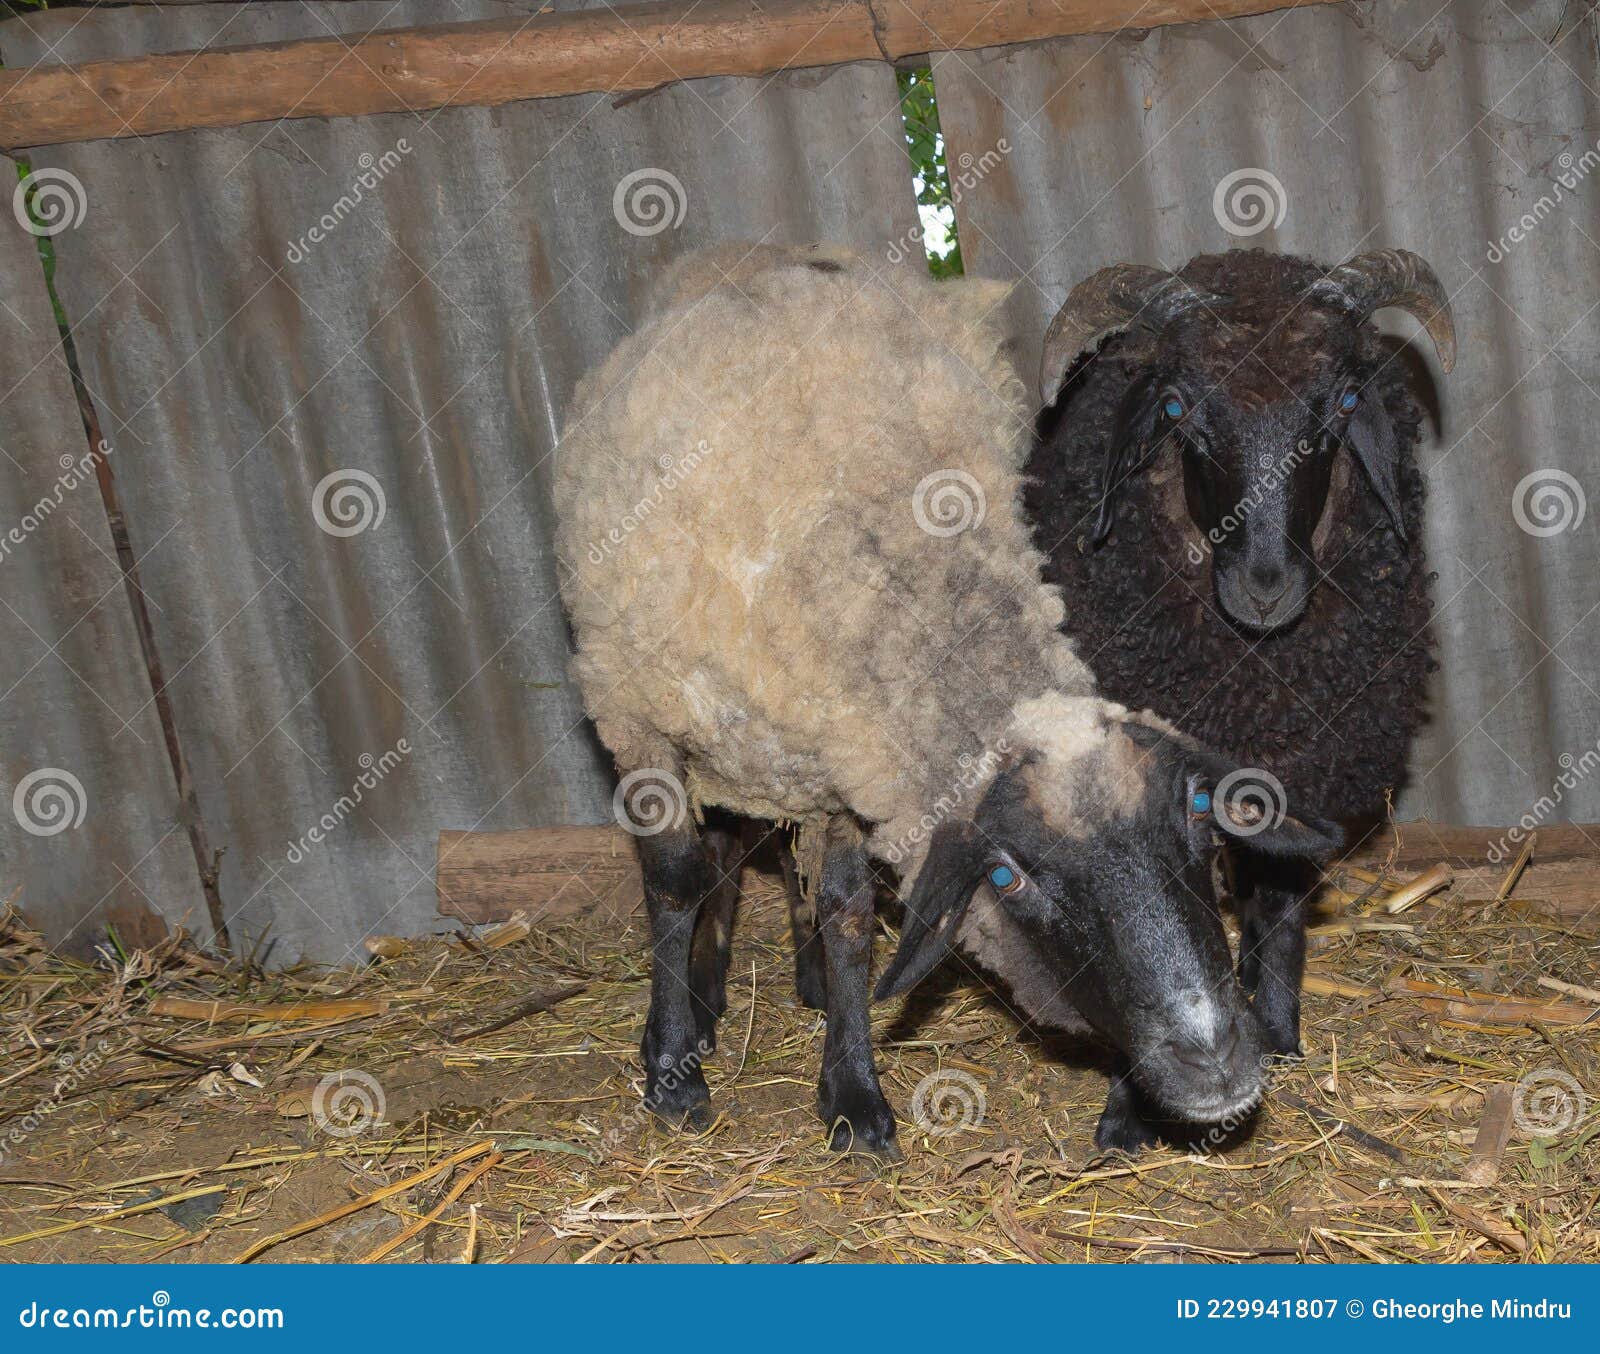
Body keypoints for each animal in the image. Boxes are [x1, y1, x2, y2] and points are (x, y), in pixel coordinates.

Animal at [553, 244, 1338, 1155]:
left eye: (1203, 826)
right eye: (1007, 876)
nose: (1215, 1061)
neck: (886, 565)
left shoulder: (849, 763)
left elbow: (848, 915)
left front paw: (851, 1090)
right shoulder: (639, 718)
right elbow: (675, 882)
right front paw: (675, 1069)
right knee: (708, 856)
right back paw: (699, 1008)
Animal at [1024, 248, 1455, 1057]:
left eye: (1345, 402)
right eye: (1175, 412)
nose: (1266, 588)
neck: (1257, 678)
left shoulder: (1302, 764)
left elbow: (1280, 901)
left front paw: (1278, 1029)